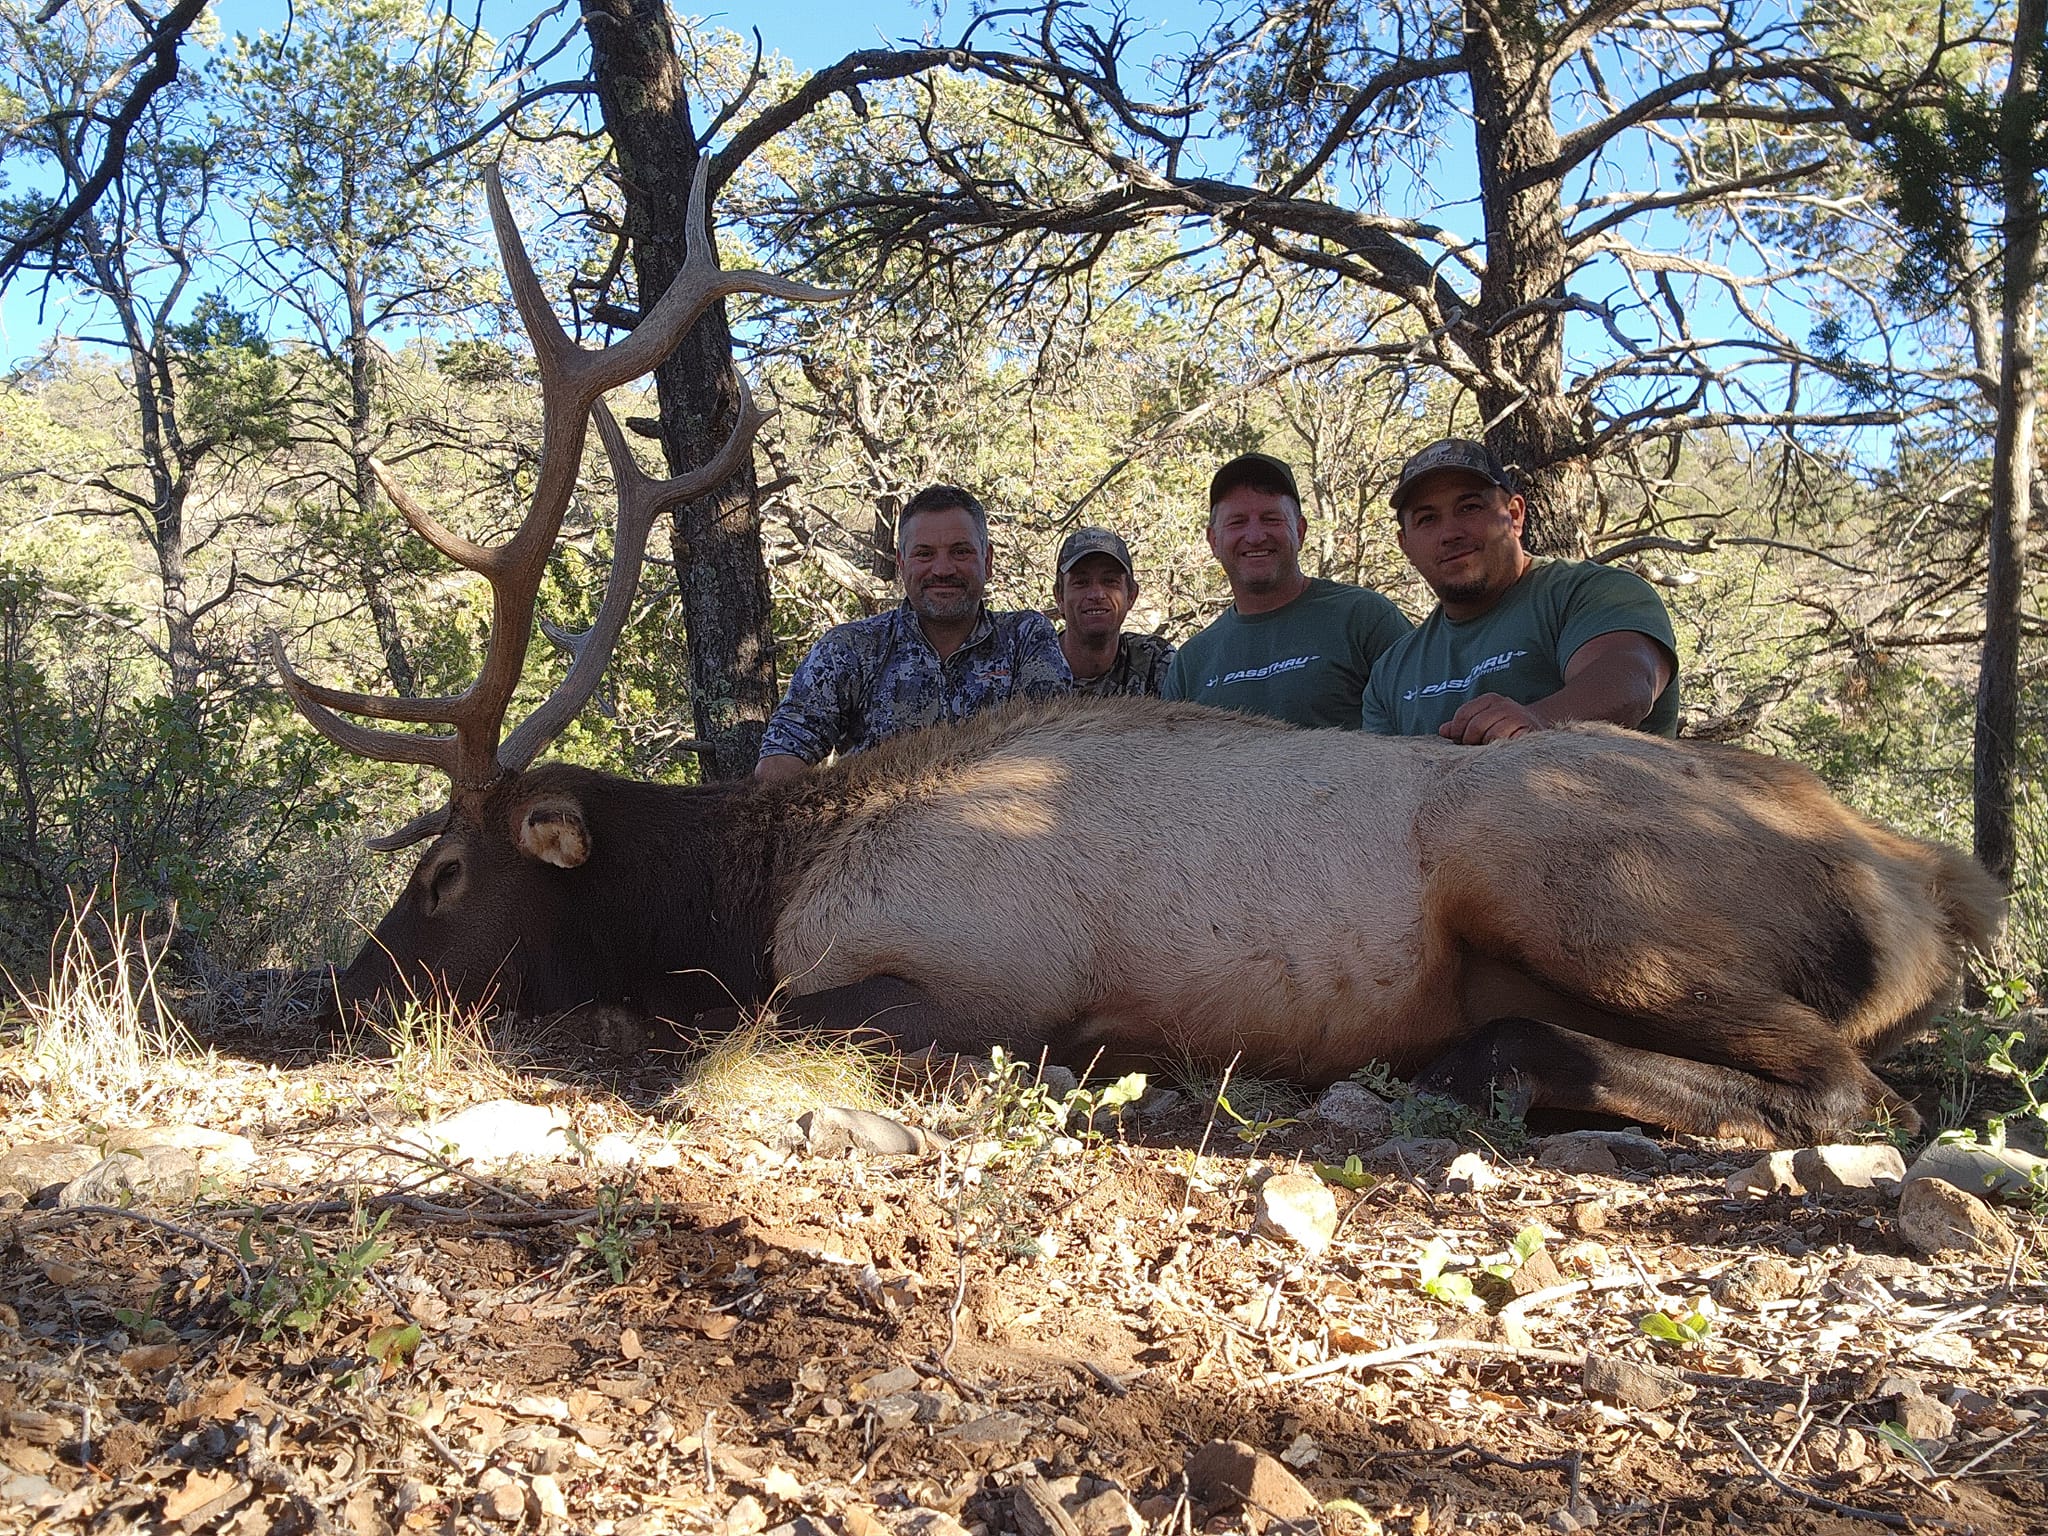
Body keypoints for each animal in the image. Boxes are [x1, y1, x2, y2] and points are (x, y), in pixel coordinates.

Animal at [277, 163, 2002, 1149]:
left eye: (444, 872)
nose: (332, 1000)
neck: (756, 888)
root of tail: (1933, 880)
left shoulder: (970, 972)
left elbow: (736, 1046)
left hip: (1554, 868)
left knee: (1843, 1091)